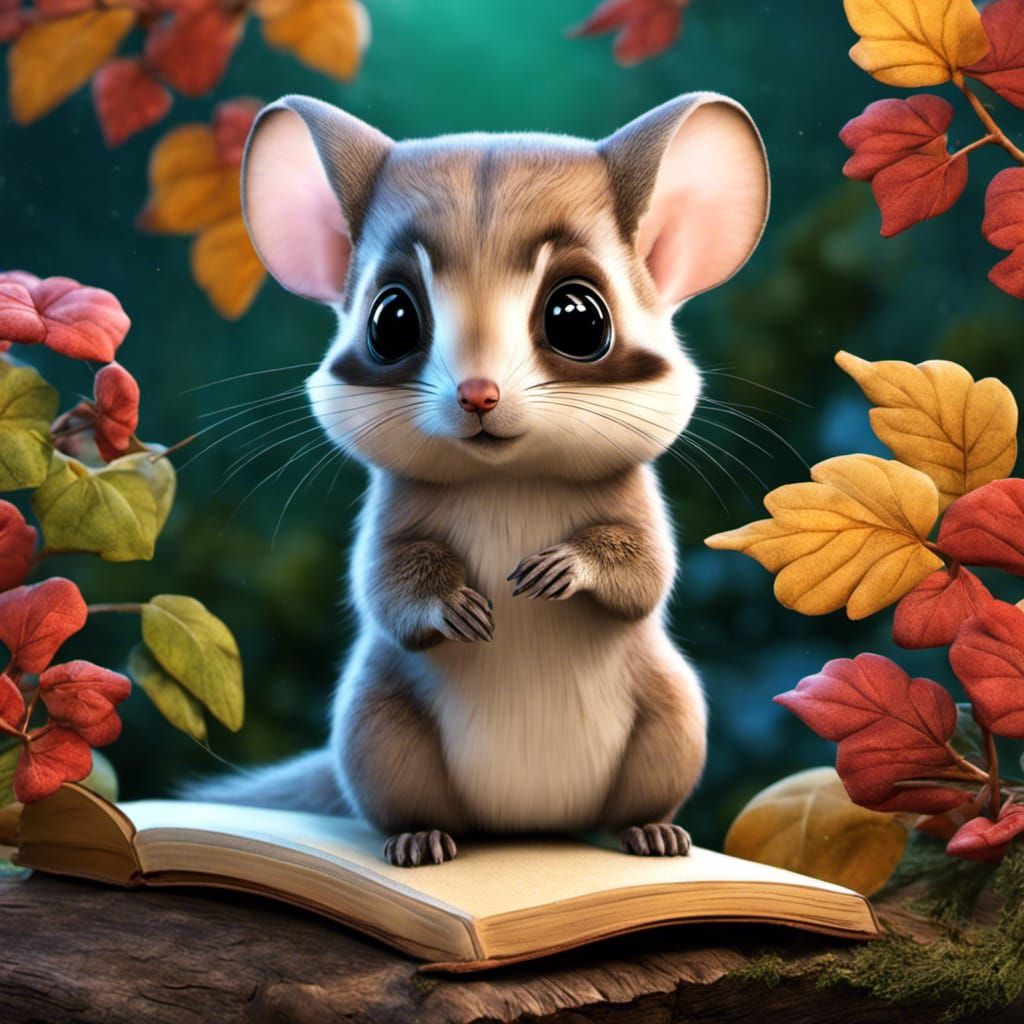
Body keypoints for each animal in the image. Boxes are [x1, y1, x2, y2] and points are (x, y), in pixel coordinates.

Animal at [187, 92, 769, 867]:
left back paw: (652, 832)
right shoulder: (388, 517)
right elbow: (385, 584)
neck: (508, 480)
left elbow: (645, 572)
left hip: (673, 714)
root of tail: (528, 825)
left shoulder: (639, 506)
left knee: (644, 792)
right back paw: (419, 840)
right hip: (377, 726)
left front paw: (564, 568)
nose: (479, 394)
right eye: (392, 319)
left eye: (578, 318)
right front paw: (453, 607)